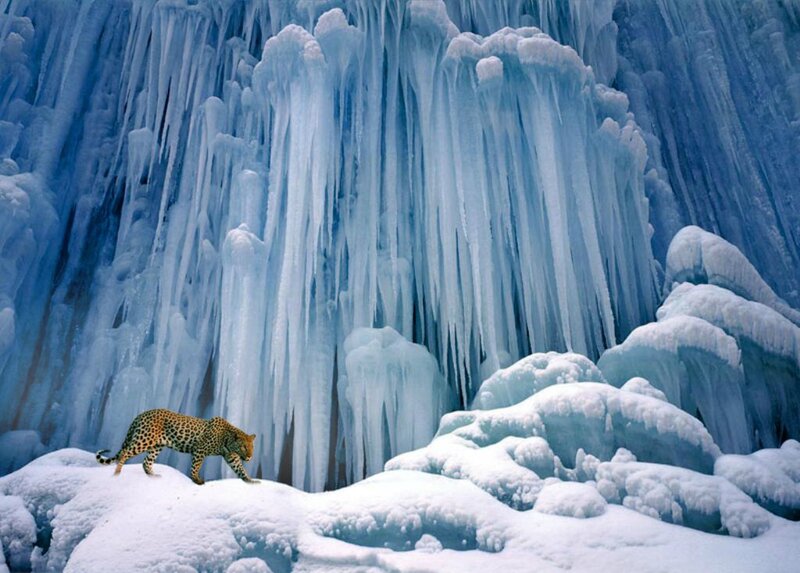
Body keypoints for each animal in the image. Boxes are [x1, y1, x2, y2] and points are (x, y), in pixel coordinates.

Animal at [96, 408, 258, 485]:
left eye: (252, 447)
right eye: (243, 447)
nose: (250, 457)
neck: (227, 440)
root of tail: (141, 414)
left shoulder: (232, 457)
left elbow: (240, 469)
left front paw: (251, 481)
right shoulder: (199, 450)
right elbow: (195, 466)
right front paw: (197, 480)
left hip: (156, 446)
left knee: (146, 462)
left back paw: (153, 476)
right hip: (143, 440)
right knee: (124, 453)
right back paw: (117, 473)